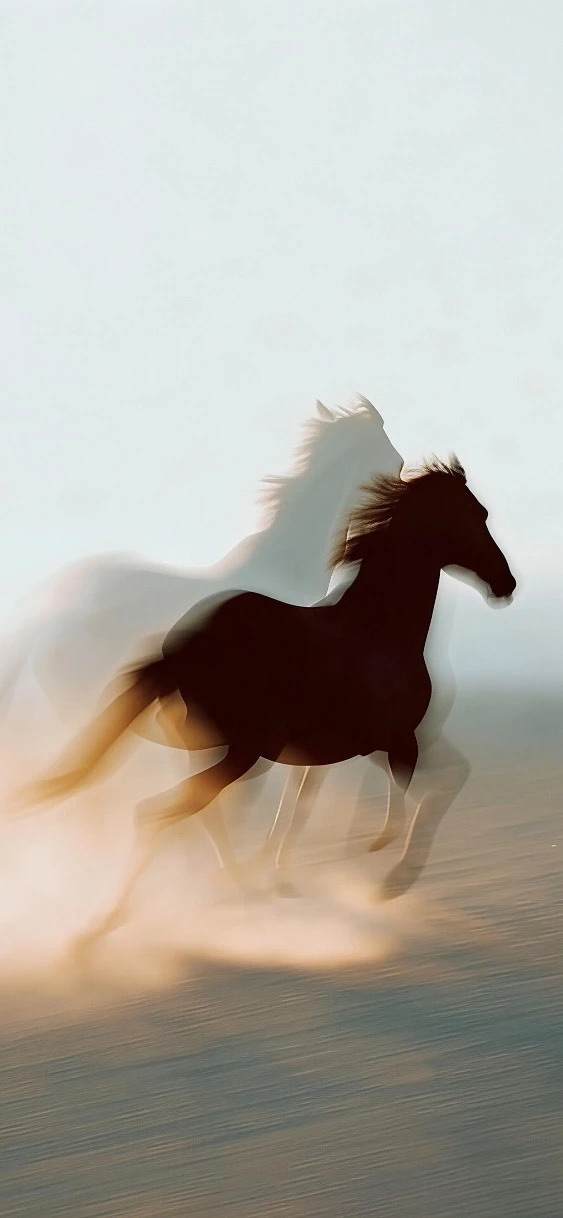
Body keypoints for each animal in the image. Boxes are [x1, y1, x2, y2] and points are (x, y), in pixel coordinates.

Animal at [17, 457, 516, 948]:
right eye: (478, 516)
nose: (506, 583)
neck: (379, 628)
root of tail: (181, 649)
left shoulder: (358, 747)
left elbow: (320, 803)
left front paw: (321, 874)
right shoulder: (393, 738)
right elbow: (409, 794)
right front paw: (381, 870)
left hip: (214, 749)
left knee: (183, 814)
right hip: (242, 752)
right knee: (156, 814)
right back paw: (110, 923)